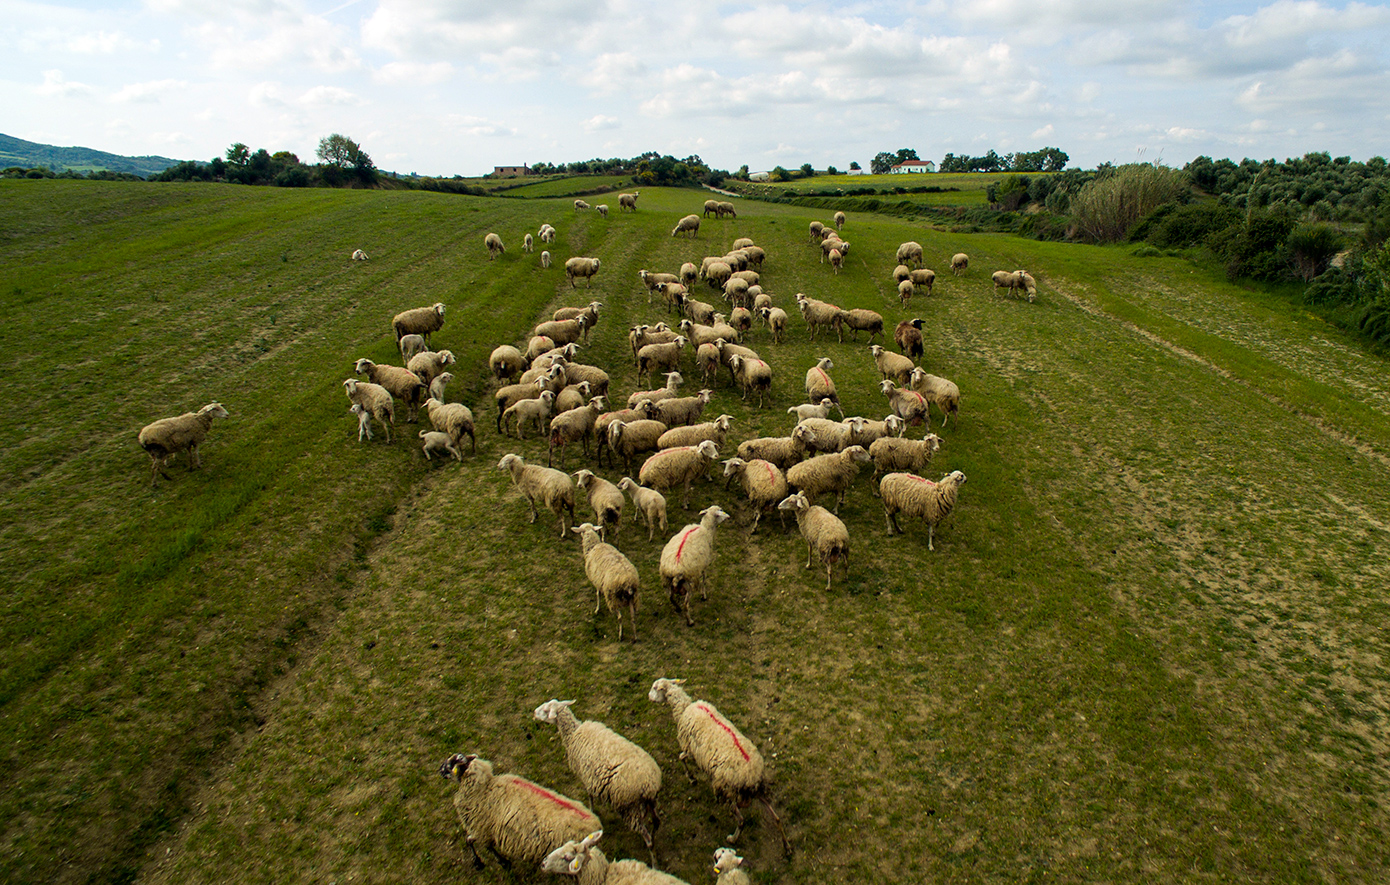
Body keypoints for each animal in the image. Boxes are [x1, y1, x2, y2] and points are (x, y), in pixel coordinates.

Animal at [436, 750, 600, 872]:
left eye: (450, 764)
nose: (439, 770)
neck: (484, 788)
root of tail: (596, 825)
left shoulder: (481, 829)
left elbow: (474, 842)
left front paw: (491, 862)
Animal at [530, 700, 661, 861]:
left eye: (546, 710)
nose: (534, 712)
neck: (573, 733)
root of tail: (649, 785)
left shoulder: (587, 778)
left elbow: (590, 796)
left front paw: (591, 810)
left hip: (630, 809)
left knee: (648, 839)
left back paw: (653, 860)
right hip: (651, 803)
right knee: (656, 823)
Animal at [644, 675, 789, 855]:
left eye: (655, 687)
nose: (648, 696)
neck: (684, 708)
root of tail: (753, 776)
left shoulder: (689, 748)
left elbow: (681, 758)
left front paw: (691, 778)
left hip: (729, 791)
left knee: (742, 821)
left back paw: (733, 838)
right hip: (759, 791)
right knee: (776, 818)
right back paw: (787, 847)